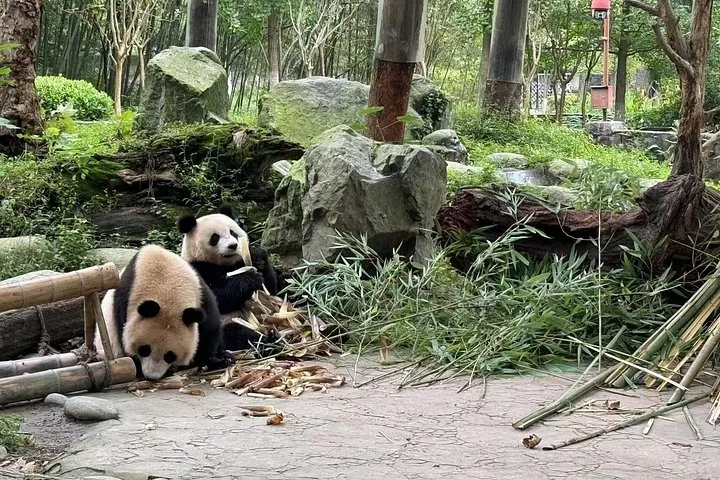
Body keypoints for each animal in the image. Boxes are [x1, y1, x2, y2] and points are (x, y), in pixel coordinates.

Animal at [94, 244, 233, 380]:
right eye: (145, 349)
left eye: (170, 356)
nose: (151, 376)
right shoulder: (125, 301)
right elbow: (123, 336)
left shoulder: (200, 292)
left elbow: (209, 328)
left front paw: (216, 360)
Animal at [177, 204, 281, 351]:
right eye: (215, 238)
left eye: (233, 232)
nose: (233, 245)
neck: (224, 265)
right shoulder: (197, 270)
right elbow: (217, 298)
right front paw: (250, 279)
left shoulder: (240, 262)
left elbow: (269, 291)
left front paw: (257, 256)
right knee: (234, 333)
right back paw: (267, 342)